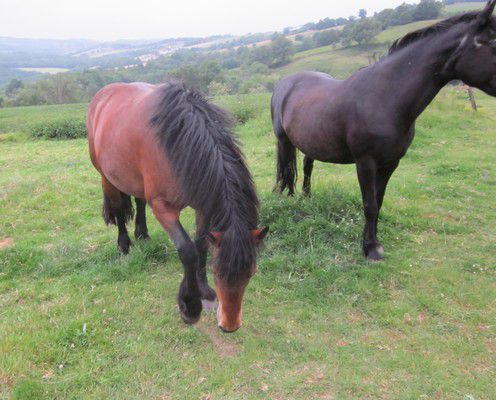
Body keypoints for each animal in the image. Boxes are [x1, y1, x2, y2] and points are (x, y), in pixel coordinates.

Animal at [87, 81, 268, 333]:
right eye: (217, 271)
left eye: (251, 273)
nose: (229, 326)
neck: (179, 141)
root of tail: (103, 95)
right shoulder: (163, 208)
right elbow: (188, 251)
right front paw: (190, 306)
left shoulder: (202, 205)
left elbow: (201, 245)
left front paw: (205, 292)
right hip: (107, 177)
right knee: (118, 209)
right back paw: (124, 244)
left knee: (139, 201)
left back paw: (142, 235)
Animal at [272, 0, 496, 261]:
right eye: (492, 43)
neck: (385, 98)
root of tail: (285, 83)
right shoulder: (365, 162)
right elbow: (369, 204)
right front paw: (371, 250)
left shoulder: (390, 163)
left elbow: (378, 202)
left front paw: (371, 241)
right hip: (284, 140)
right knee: (287, 170)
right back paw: (289, 200)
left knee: (307, 166)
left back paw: (307, 198)